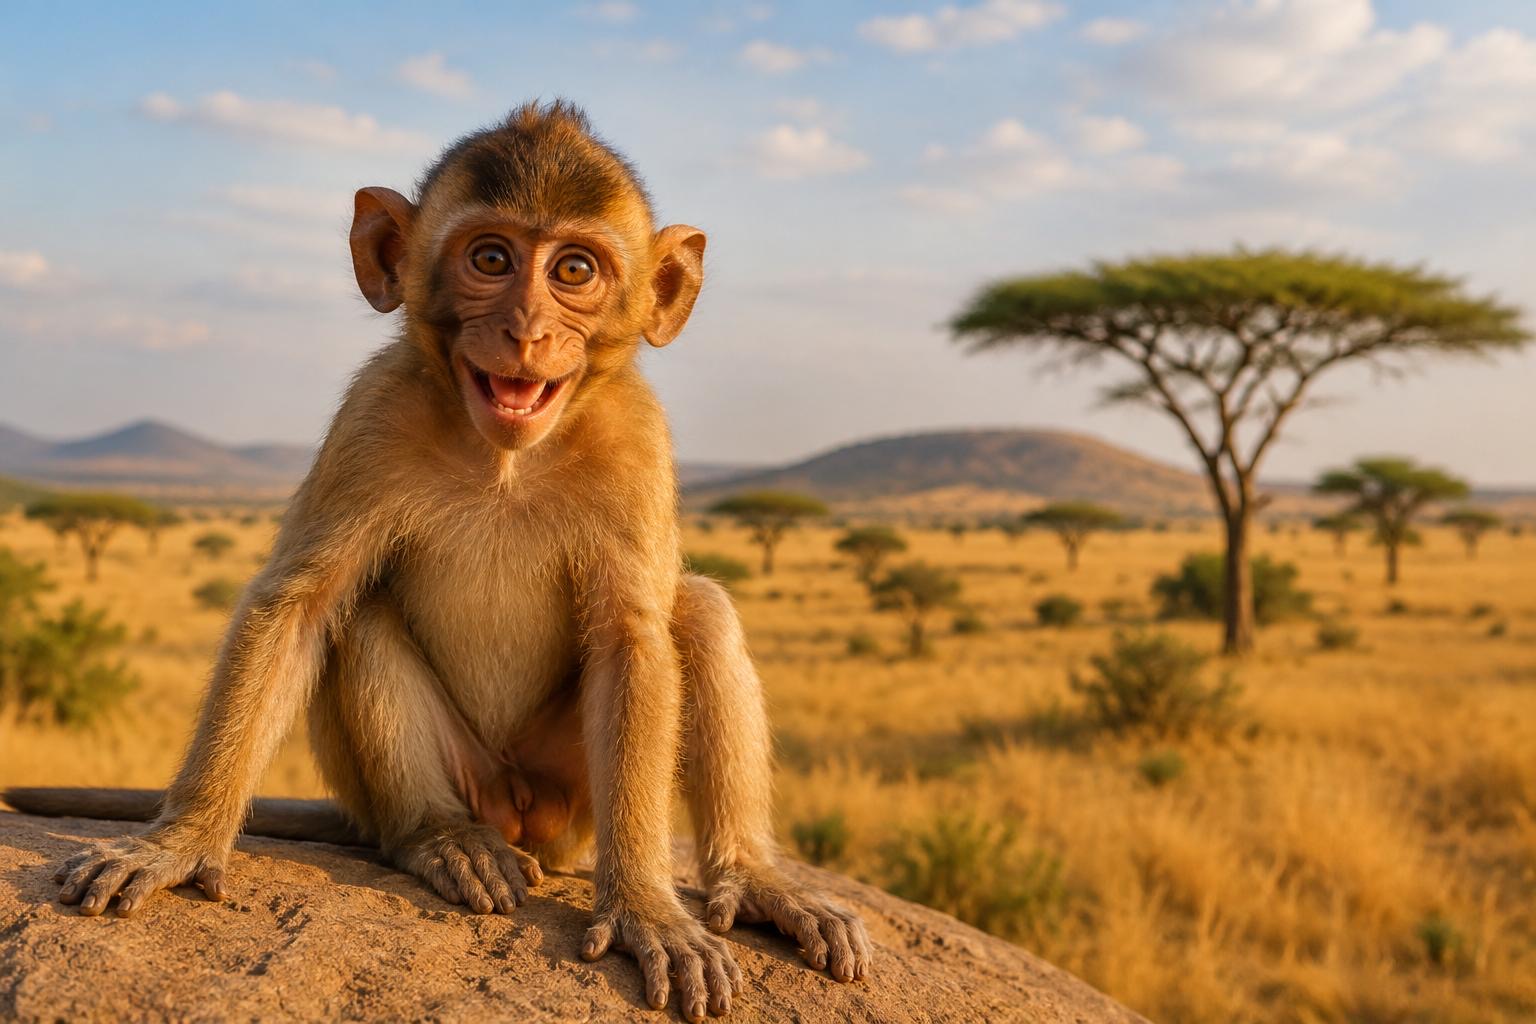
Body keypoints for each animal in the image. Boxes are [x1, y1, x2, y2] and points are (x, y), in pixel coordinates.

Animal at [8, 101, 871, 1022]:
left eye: (574, 269)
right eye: (490, 259)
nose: (527, 331)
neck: (505, 457)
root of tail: (526, 820)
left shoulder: (638, 438)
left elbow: (633, 640)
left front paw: (646, 909)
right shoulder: (372, 414)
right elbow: (299, 606)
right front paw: (181, 839)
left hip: (573, 802)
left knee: (696, 610)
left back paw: (753, 876)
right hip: (454, 787)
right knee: (360, 616)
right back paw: (444, 839)